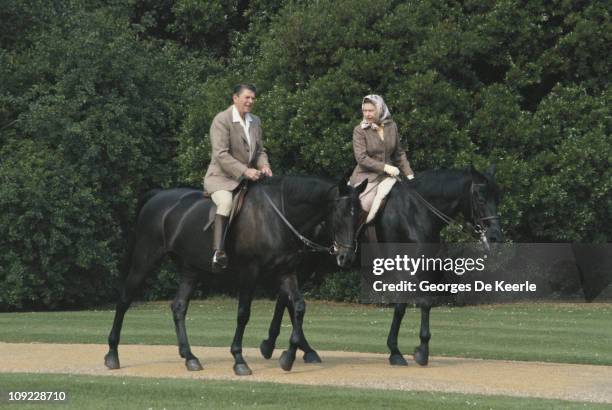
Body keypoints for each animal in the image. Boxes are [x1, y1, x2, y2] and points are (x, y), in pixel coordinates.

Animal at [103, 175, 366, 374]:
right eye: (341, 213)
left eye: (360, 215)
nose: (347, 257)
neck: (277, 217)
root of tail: (158, 196)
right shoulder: (250, 273)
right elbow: (244, 314)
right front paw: (240, 359)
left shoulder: (286, 272)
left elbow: (298, 307)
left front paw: (288, 357)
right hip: (144, 261)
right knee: (124, 301)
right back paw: (112, 354)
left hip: (189, 269)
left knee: (178, 306)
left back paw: (190, 356)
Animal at [258, 165, 502, 366]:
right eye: (480, 198)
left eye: (497, 197)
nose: (495, 235)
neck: (415, 212)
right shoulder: (403, 271)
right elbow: (410, 305)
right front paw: (404, 351)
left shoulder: (422, 271)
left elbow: (419, 304)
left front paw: (413, 350)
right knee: (288, 300)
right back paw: (294, 347)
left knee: (285, 299)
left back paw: (284, 346)